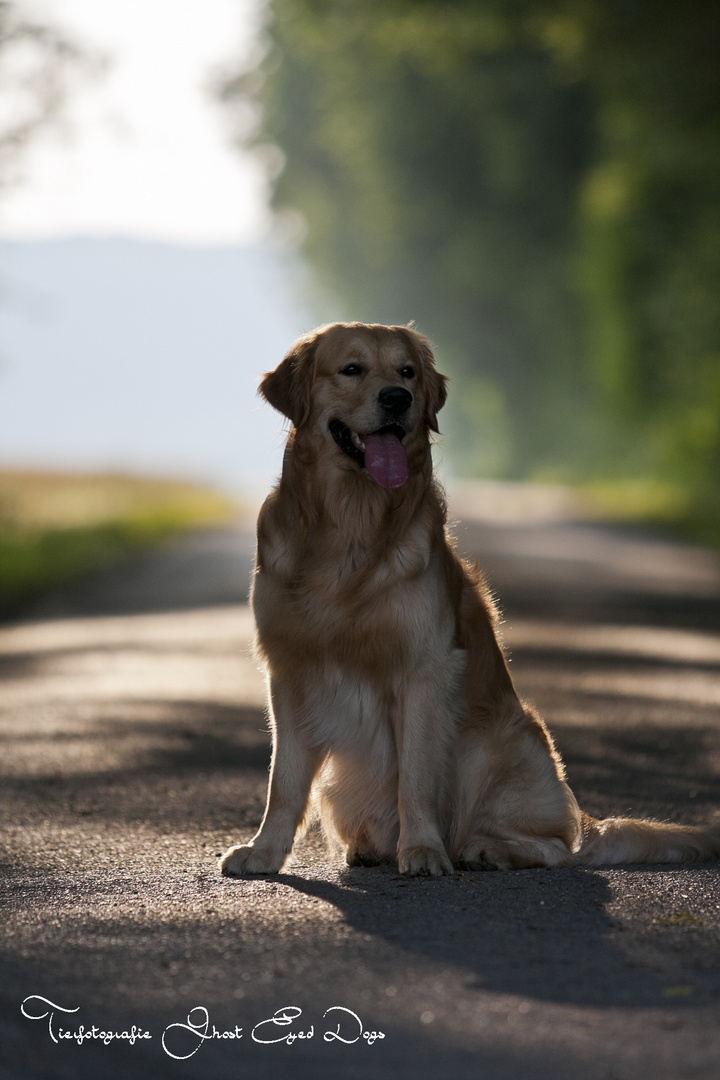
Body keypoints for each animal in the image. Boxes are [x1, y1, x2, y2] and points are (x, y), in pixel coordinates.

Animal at [221, 321, 720, 876]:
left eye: (407, 372)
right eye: (351, 369)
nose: (397, 398)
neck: (349, 528)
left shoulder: (424, 668)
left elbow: (415, 777)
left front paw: (421, 850)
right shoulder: (288, 669)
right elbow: (283, 781)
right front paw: (264, 852)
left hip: (492, 741)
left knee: (554, 847)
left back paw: (482, 850)